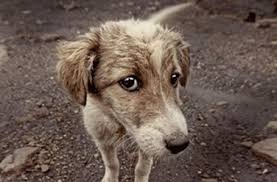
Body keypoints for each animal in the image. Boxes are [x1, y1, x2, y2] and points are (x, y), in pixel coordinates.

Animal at [56, 1, 192, 182]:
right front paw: (110, 178)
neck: (119, 123)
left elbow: (142, 168)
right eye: (129, 82)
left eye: (175, 77)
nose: (180, 144)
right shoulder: (101, 138)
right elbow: (112, 163)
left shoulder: (145, 143)